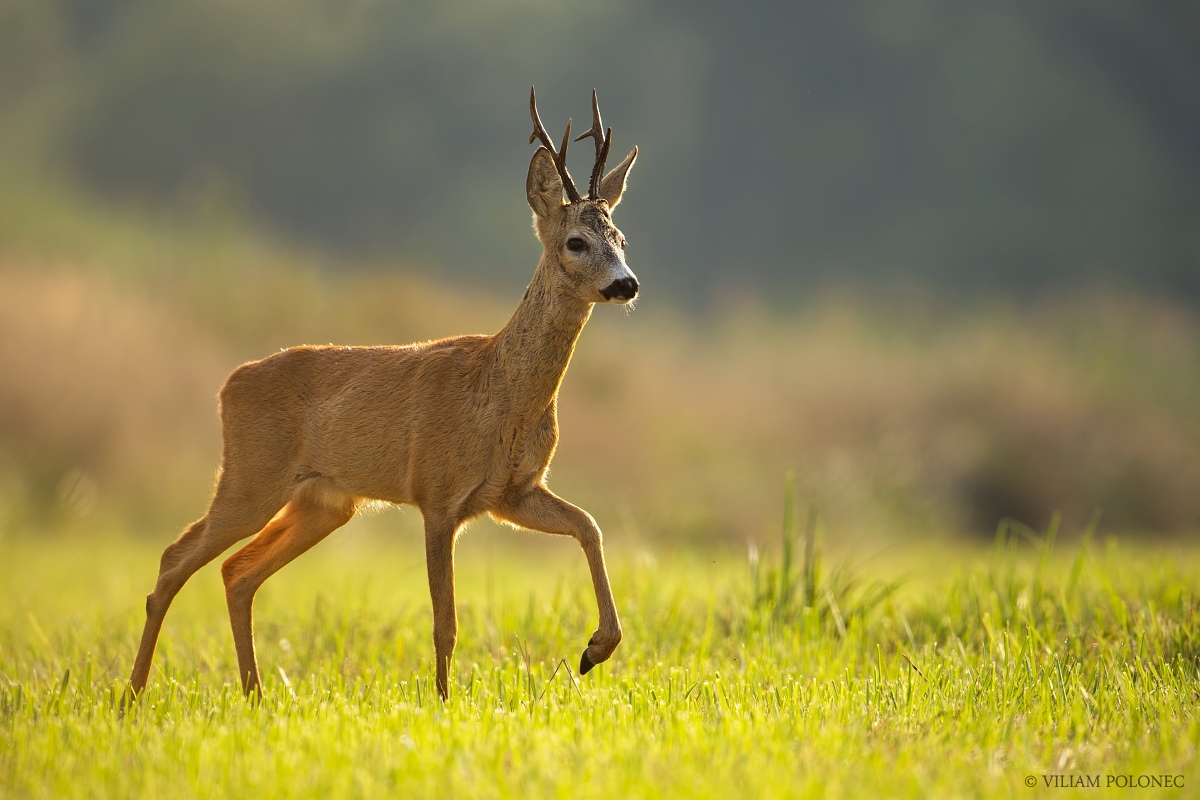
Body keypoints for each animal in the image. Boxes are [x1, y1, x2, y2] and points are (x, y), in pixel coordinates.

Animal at [124, 87, 638, 700]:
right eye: (576, 241)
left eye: (623, 239)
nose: (627, 283)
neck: (502, 394)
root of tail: (229, 383)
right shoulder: (438, 493)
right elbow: (445, 620)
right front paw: (442, 702)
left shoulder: (512, 492)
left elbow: (590, 525)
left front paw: (596, 649)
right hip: (250, 475)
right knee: (174, 560)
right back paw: (132, 696)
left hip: (324, 501)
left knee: (237, 571)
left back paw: (253, 695)